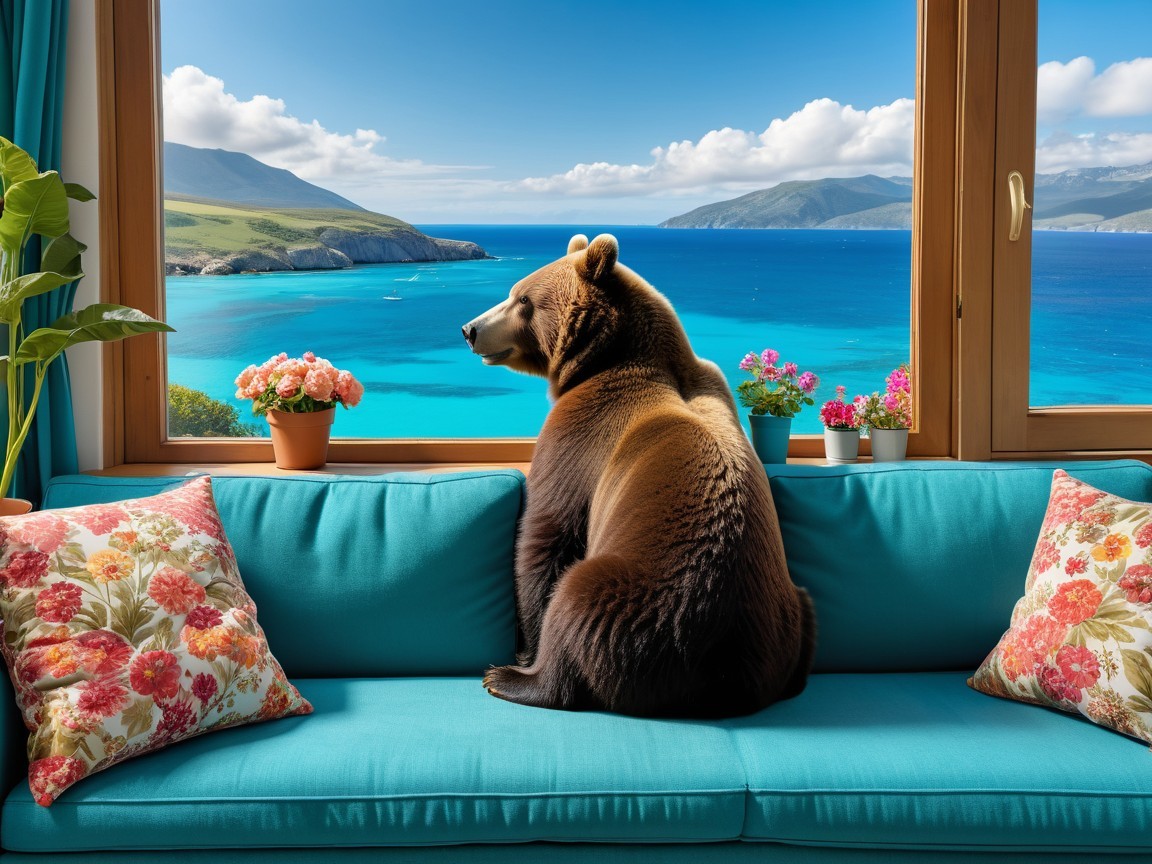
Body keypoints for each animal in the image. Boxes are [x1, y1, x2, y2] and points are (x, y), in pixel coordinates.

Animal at [461, 233, 815, 718]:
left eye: (523, 300)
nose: (470, 329)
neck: (601, 358)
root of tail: (719, 679)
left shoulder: (583, 433)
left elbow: (547, 534)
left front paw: (524, 650)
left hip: (645, 607)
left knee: (575, 603)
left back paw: (508, 679)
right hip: (786, 612)